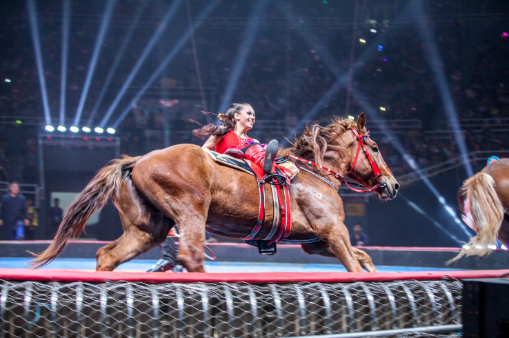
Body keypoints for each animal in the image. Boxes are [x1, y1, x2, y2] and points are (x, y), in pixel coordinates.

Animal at [31, 113, 398, 272]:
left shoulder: (317, 242)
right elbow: (354, 266)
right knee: (191, 257)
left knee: (108, 256)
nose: (392, 185)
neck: (315, 173)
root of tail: (138, 160)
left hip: (148, 229)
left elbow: (364, 259)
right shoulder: (334, 232)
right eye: (375, 147)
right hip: (191, 213)